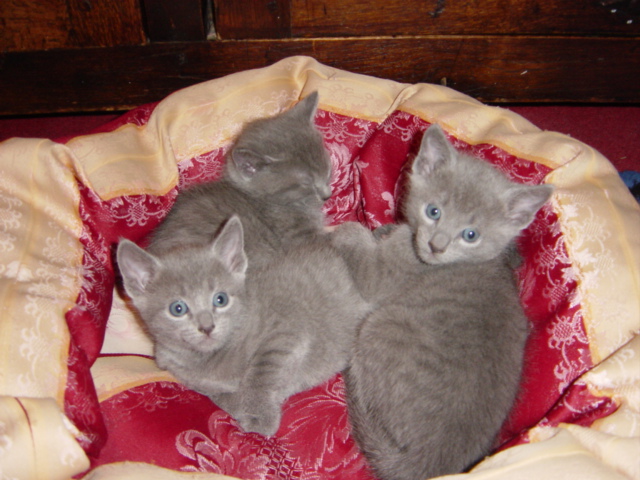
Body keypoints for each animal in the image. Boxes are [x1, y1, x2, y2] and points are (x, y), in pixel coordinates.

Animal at [117, 215, 371, 437]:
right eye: (177, 308)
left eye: (220, 299)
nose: (207, 327)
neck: (211, 358)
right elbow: (219, 396)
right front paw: (240, 403)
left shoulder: (286, 332)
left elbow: (262, 373)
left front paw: (259, 413)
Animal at [331, 124, 553, 480]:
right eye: (433, 211)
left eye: (470, 234)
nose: (436, 246)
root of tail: (429, 465)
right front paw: (383, 229)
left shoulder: (386, 273)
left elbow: (361, 252)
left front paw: (345, 230)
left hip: (382, 324)